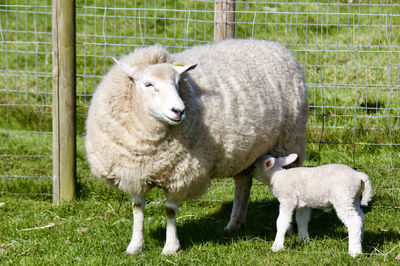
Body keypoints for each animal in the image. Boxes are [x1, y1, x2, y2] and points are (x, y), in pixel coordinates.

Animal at [85, 39, 310, 254]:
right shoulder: (135, 171)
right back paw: (234, 223)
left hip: (289, 141)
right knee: (243, 184)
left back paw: (288, 228)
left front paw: (170, 247)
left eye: (178, 83)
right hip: (246, 151)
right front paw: (135, 246)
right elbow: (137, 208)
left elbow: (169, 210)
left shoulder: (181, 173)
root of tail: (275, 45)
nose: (179, 110)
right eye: (148, 84)